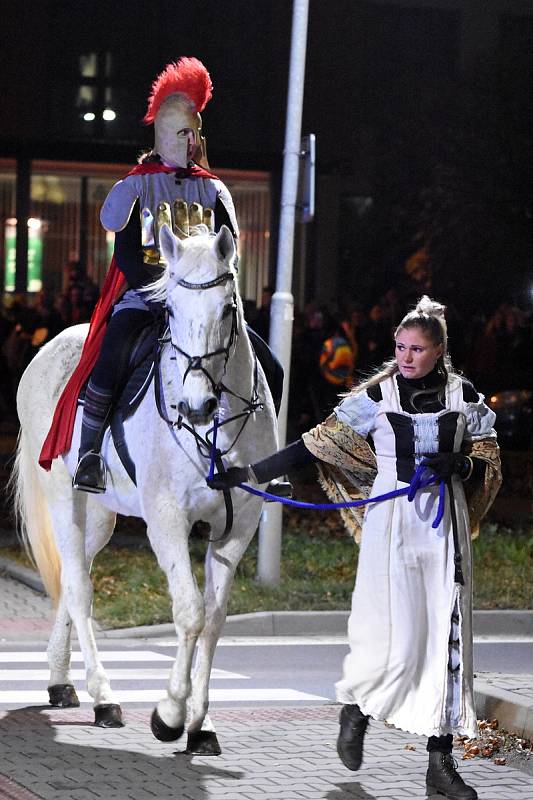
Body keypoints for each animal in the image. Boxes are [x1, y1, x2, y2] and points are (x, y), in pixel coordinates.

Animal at [10, 227, 278, 756]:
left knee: (74, 577)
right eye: (170, 309)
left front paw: (200, 726)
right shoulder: (167, 520)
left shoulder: (237, 528)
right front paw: (169, 715)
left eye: (228, 309)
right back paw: (104, 697)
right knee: (79, 587)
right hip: (63, 498)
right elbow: (191, 613)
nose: (195, 406)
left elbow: (215, 619)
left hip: (100, 515)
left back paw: (59, 680)